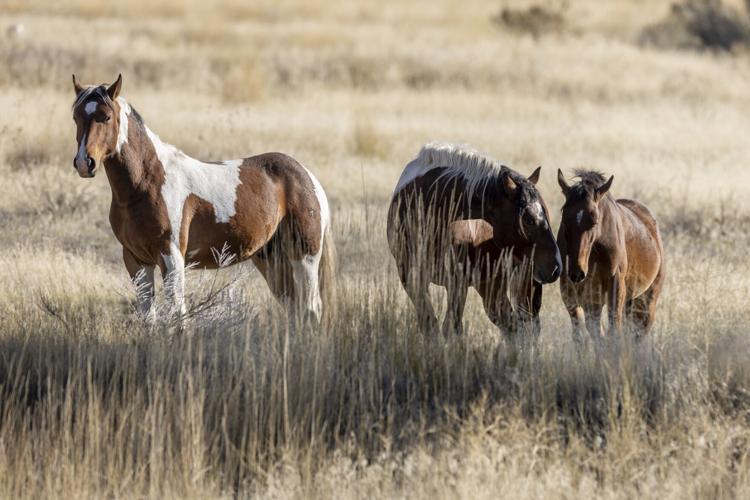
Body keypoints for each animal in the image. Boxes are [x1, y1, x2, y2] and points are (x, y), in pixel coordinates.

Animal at [71, 74, 335, 325]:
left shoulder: (171, 257)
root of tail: (307, 176)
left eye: (106, 117)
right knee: (295, 309)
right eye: (75, 117)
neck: (146, 184)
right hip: (271, 260)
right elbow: (149, 318)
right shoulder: (136, 259)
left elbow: (178, 315)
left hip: (304, 257)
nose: (85, 163)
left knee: (311, 309)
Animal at [387, 141, 561, 338]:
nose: (556, 267)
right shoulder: (410, 276)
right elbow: (430, 324)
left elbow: (451, 328)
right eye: (529, 219)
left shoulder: (458, 281)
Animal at [556, 169, 664, 340]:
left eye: (594, 220)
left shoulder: (616, 286)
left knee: (639, 335)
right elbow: (584, 335)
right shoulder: (573, 294)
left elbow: (614, 332)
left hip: (646, 301)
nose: (577, 273)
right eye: (564, 219)